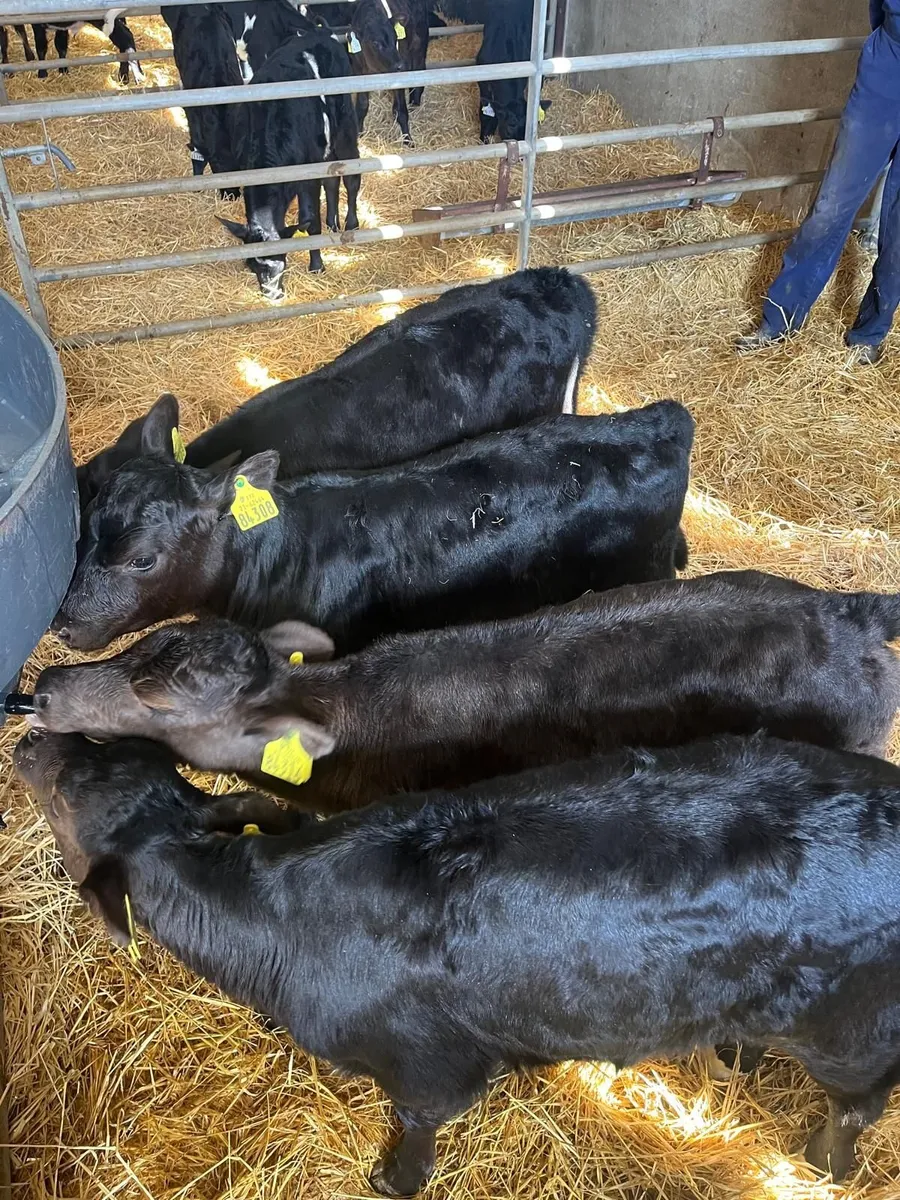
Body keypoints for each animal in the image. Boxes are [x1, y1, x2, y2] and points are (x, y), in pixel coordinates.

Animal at [16, 728, 900, 1192]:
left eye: (65, 793)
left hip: (853, 1031)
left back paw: (824, 1161)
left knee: (859, 1104)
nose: (26, 737)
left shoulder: (432, 1068)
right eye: (99, 743)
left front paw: (395, 1178)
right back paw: (737, 1053)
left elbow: (418, 1124)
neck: (274, 919)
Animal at [346, 0, 430, 145]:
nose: (400, 65)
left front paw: (408, 140)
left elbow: (402, 111)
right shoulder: (359, 71)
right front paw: (359, 134)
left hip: (419, 46)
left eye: (396, 38)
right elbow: (362, 106)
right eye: (375, 43)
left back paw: (414, 103)